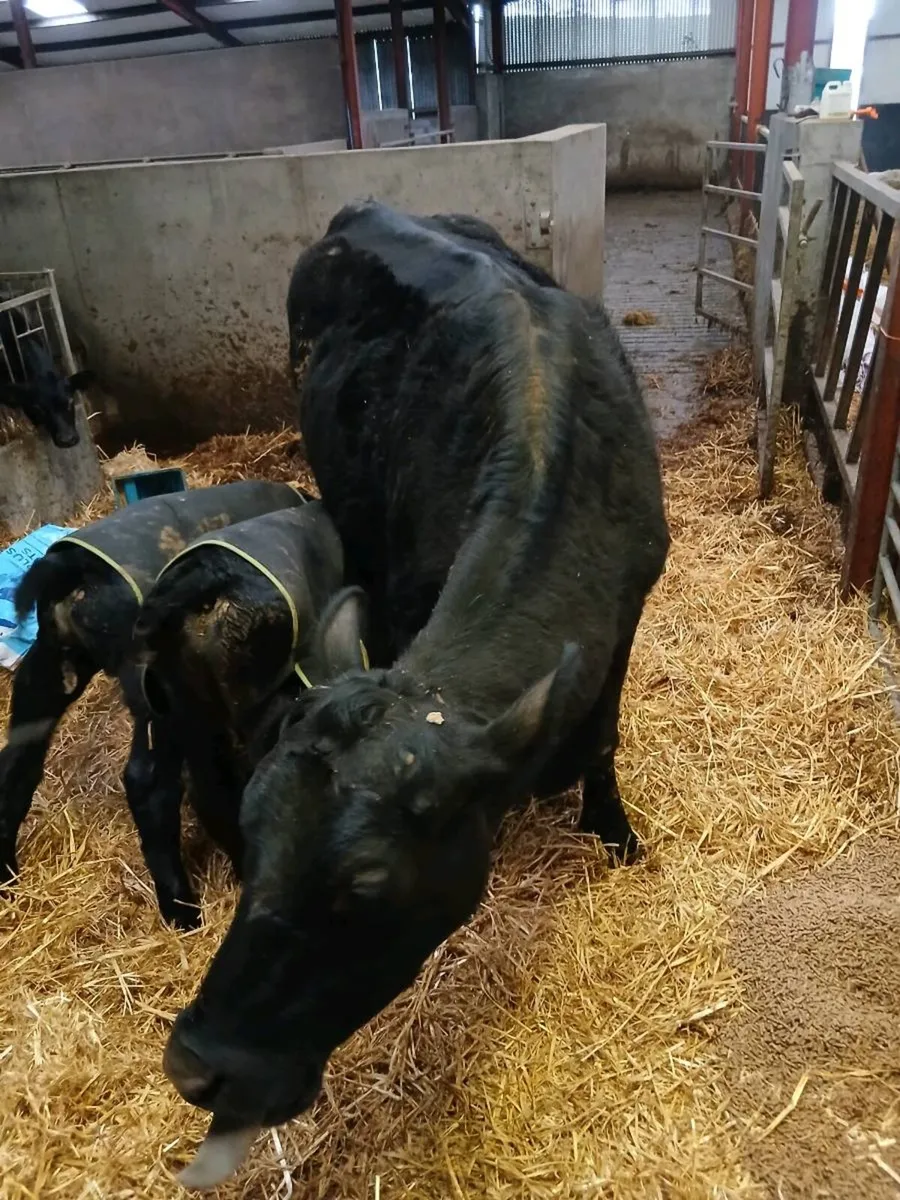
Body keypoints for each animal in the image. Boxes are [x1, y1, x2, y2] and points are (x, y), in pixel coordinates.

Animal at [0, 481, 307, 928]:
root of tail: (73, 571)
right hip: (162, 688)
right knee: (160, 781)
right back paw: (185, 907)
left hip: (52, 661)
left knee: (18, 760)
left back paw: (6, 875)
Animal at [164, 201, 669, 1189]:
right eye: (252, 832)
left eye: (367, 885)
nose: (194, 1067)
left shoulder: (631, 606)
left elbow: (602, 737)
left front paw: (614, 830)